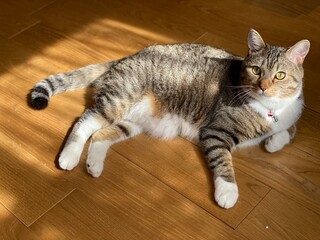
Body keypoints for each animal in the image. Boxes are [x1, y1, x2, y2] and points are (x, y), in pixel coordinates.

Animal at [28, 29, 308, 208]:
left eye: (280, 75)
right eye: (256, 70)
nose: (263, 87)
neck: (270, 109)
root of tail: (126, 57)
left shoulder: (292, 113)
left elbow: (290, 131)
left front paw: (273, 142)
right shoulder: (215, 132)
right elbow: (223, 162)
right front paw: (228, 191)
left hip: (133, 121)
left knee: (100, 133)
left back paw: (93, 165)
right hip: (118, 101)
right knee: (84, 121)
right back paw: (69, 157)